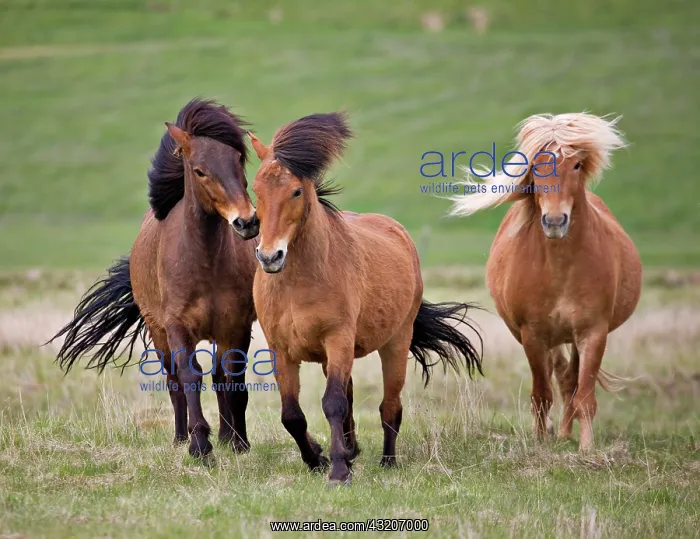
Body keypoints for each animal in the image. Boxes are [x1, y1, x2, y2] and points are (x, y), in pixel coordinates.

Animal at [49, 98, 260, 458]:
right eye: (199, 170)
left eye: (238, 161)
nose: (246, 222)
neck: (205, 265)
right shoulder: (176, 328)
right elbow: (189, 377)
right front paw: (199, 446)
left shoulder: (236, 326)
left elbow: (232, 381)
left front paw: (237, 442)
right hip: (158, 332)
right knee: (174, 382)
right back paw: (180, 438)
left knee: (220, 377)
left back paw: (226, 436)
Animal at [247, 112, 484, 485]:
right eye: (255, 190)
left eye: (296, 191)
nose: (270, 257)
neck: (299, 281)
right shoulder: (281, 350)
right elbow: (292, 414)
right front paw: (317, 459)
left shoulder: (338, 340)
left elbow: (333, 403)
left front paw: (338, 470)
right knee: (349, 397)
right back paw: (350, 450)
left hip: (396, 343)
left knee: (390, 406)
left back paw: (387, 461)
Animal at [449, 112, 642, 452]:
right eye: (536, 165)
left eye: (576, 165)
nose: (554, 221)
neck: (560, 267)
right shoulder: (533, 334)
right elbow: (541, 393)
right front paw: (540, 442)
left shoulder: (593, 332)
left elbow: (584, 394)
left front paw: (586, 449)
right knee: (559, 377)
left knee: (569, 380)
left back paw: (565, 433)